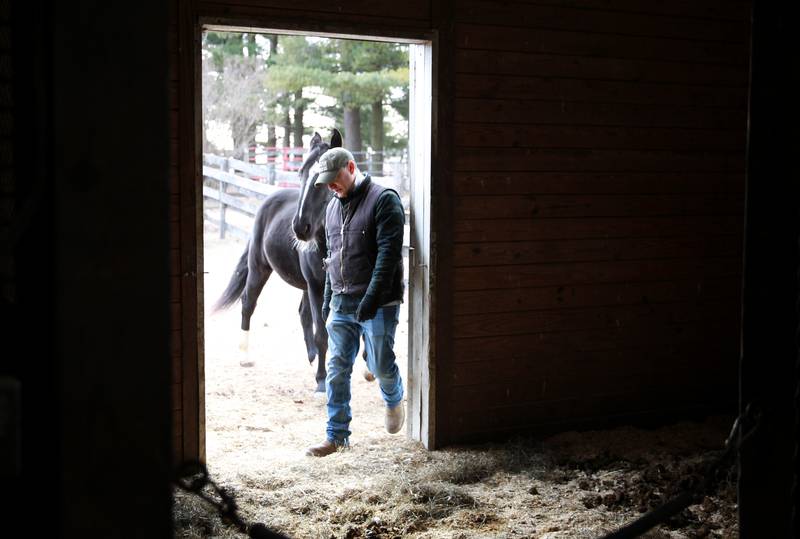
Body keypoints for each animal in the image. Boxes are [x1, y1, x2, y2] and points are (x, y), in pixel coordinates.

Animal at [211, 130, 340, 392]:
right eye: (301, 173)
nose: (300, 227)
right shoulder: (316, 287)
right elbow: (323, 334)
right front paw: (323, 382)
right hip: (259, 268)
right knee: (248, 303)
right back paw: (245, 356)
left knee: (303, 314)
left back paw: (312, 358)